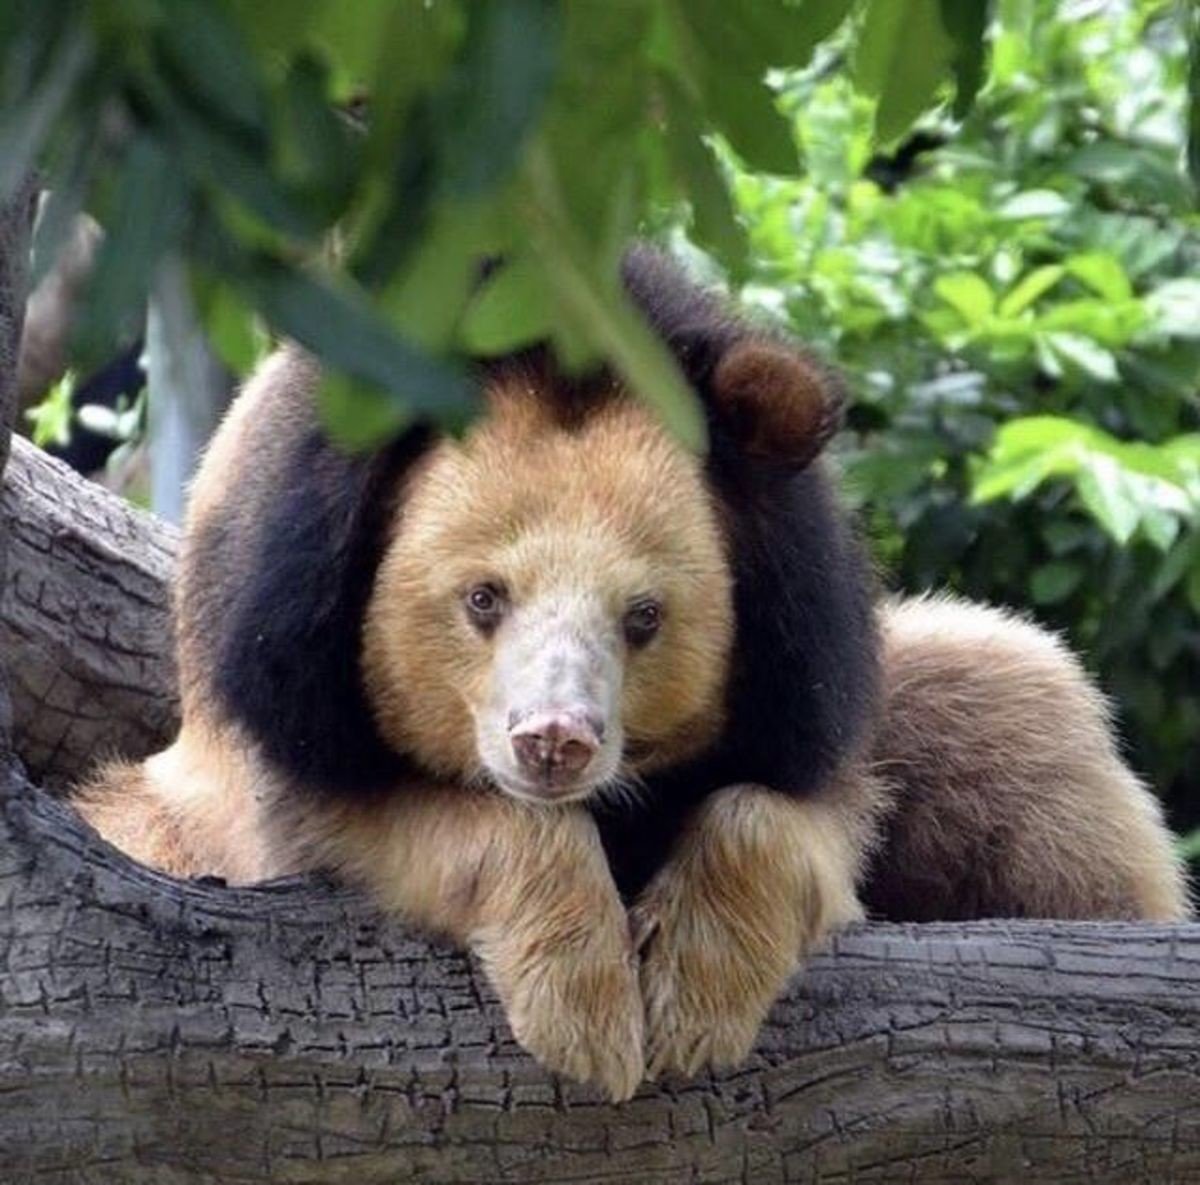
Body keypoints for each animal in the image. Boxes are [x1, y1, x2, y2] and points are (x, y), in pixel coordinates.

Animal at [73, 246, 1192, 1101]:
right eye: (483, 598)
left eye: (644, 616)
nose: (554, 742)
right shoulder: (281, 685)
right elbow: (392, 823)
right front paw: (588, 1015)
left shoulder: (809, 679)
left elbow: (800, 813)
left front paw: (691, 1002)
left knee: (1026, 717)